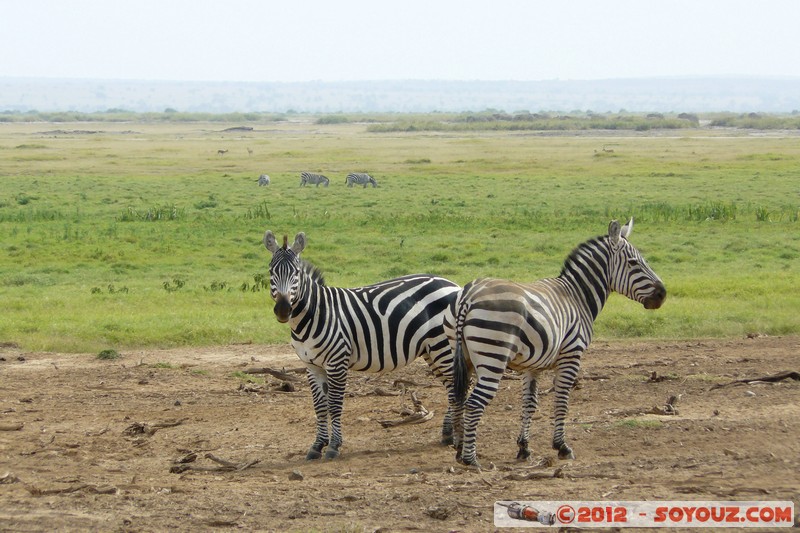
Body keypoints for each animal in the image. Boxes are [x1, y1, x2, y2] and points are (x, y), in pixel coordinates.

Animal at [264, 231, 460, 460]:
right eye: (271, 271)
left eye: (295, 273)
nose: (283, 310)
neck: (316, 313)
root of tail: (454, 285)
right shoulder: (311, 366)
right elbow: (319, 406)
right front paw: (317, 445)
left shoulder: (337, 362)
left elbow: (334, 405)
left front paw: (333, 446)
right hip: (432, 349)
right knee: (451, 387)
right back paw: (448, 433)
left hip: (443, 347)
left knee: (457, 386)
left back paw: (457, 437)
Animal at [446, 217, 664, 466]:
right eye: (634, 263)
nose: (663, 294)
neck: (577, 296)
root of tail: (469, 295)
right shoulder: (572, 355)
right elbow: (562, 399)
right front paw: (562, 446)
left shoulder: (532, 365)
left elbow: (529, 403)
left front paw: (524, 447)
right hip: (493, 357)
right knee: (474, 403)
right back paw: (470, 459)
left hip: (462, 357)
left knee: (457, 398)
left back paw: (459, 449)